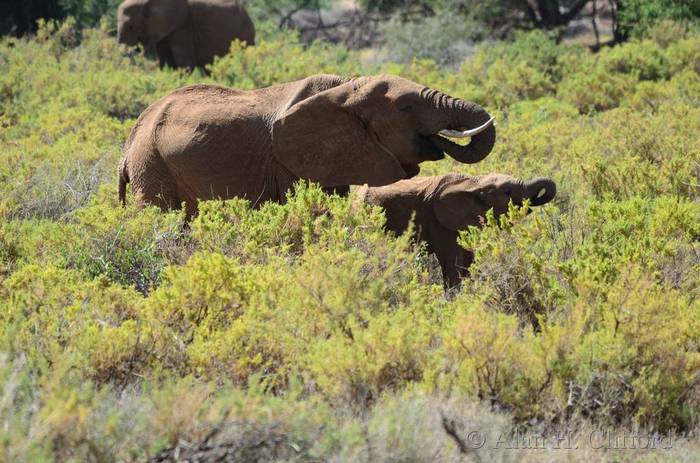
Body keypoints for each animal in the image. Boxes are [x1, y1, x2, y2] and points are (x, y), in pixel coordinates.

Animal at [117, 0, 255, 69]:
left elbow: (184, 63)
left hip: (245, 34)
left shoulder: (183, 25)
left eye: (131, 26)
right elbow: (166, 63)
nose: (137, 49)